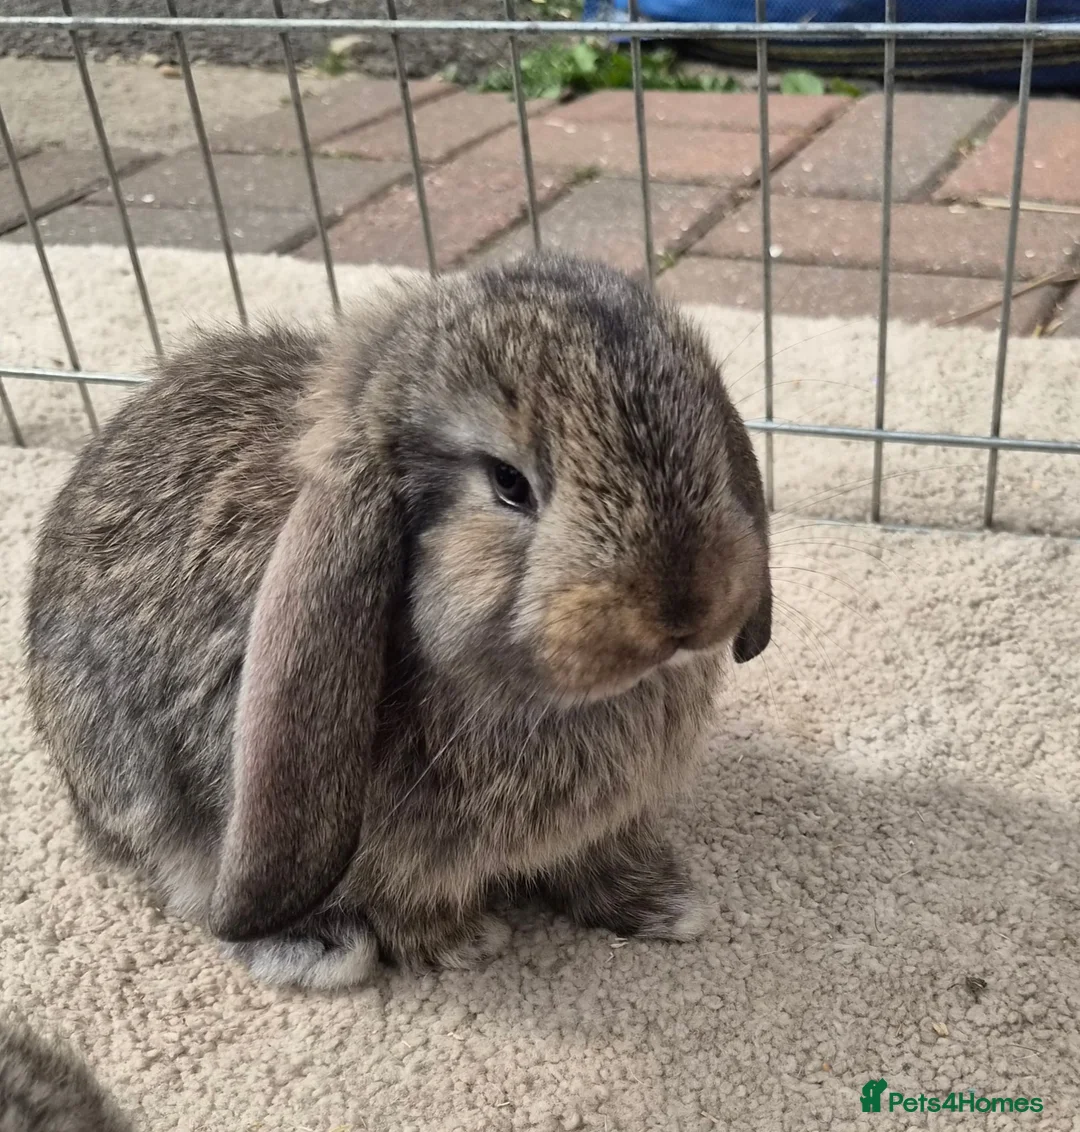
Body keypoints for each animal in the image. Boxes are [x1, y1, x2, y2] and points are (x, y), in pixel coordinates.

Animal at [24, 252, 771, 991]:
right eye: (508, 483)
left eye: (707, 439)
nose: (685, 608)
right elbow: (405, 906)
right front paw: (464, 943)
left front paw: (665, 906)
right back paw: (322, 948)